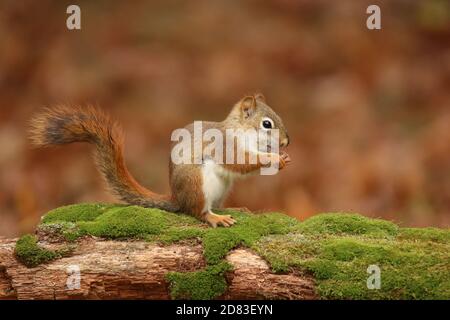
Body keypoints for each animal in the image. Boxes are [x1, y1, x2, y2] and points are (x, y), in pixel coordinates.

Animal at [31, 93, 292, 228]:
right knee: (197, 211)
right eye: (266, 124)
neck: (242, 131)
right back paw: (214, 217)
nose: (286, 142)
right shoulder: (224, 146)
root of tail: (177, 197)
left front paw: (283, 157)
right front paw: (274, 158)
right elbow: (241, 161)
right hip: (197, 181)